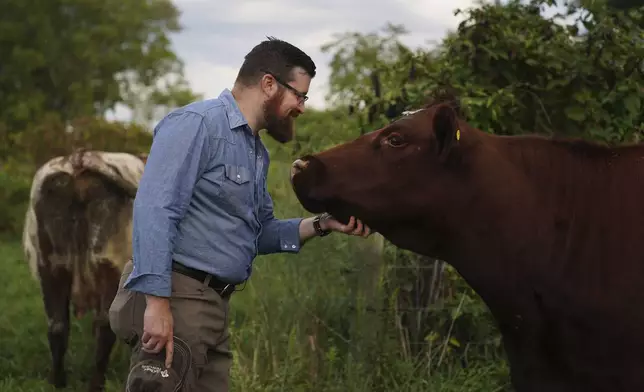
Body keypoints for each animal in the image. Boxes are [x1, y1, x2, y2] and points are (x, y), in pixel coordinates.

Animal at [23, 149, 146, 390]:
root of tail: (78, 159)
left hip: (51, 267)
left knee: (58, 326)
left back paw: (58, 382)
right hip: (109, 267)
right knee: (104, 327)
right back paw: (96, 383)